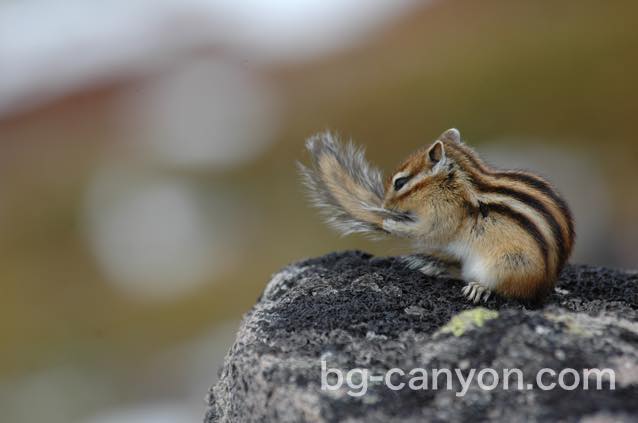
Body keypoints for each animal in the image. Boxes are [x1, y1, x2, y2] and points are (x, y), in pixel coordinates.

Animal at [298, 129, 574, 303]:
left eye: (400, 183)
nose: (385, 205)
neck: (454, 182)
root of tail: (544, 286)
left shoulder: (444, 216)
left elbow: (428, 233)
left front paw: (391, 223)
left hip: (507, 264)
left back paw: (479, 287)